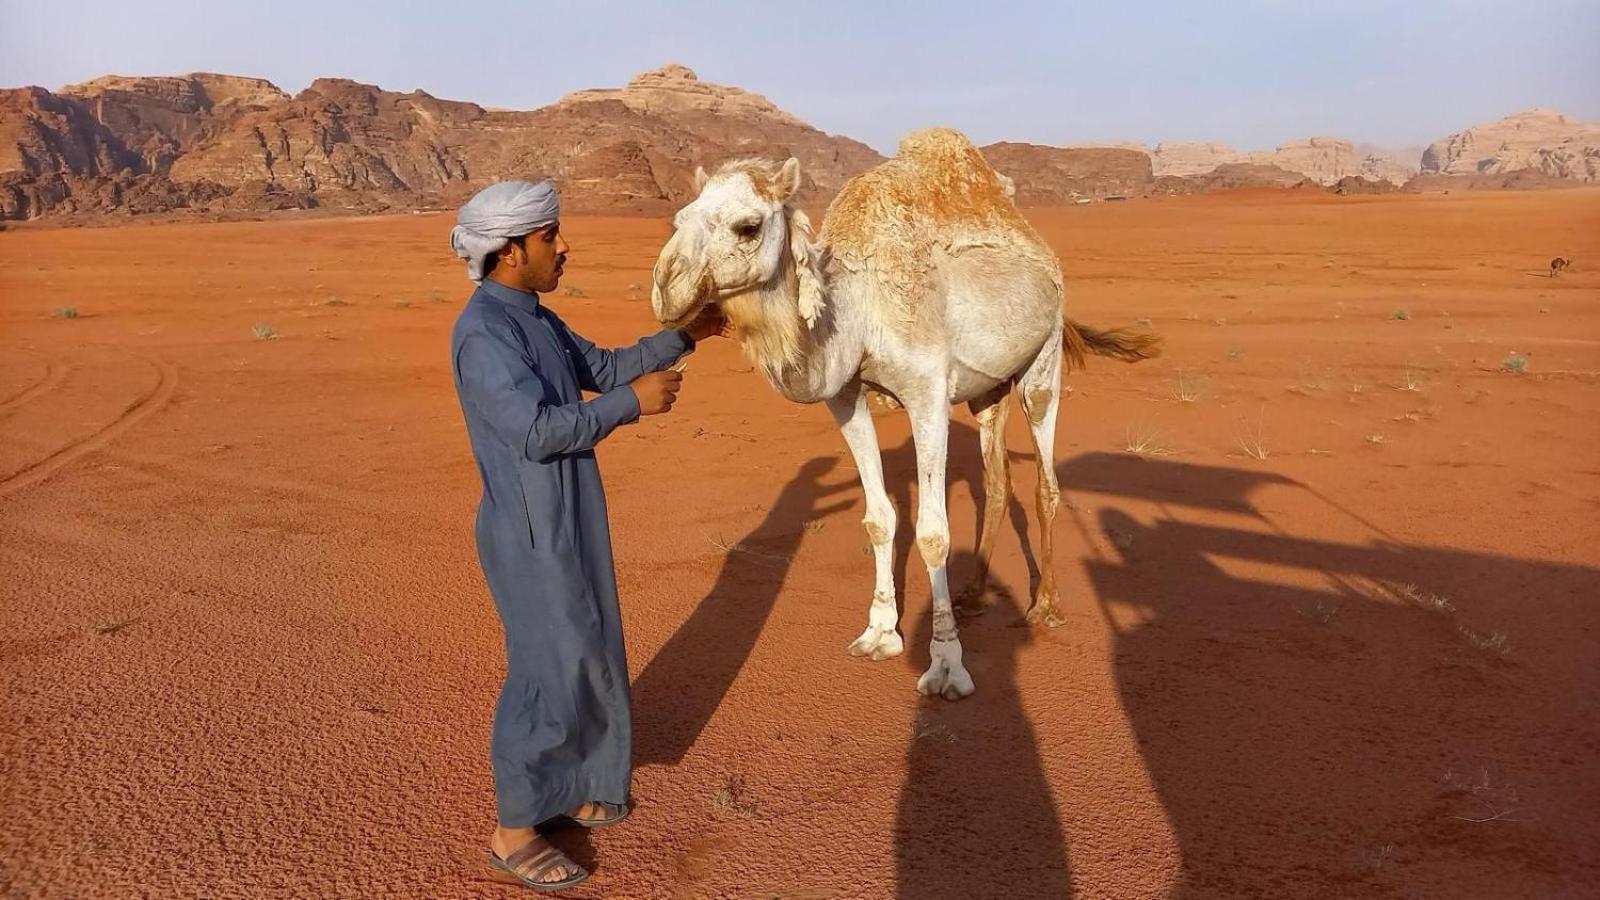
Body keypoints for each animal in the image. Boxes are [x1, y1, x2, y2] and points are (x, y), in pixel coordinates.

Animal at [649, 129, 1164, 698]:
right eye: (678, 219)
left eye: (748, 226)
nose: (665, 287)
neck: (857, 310)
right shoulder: (845, 397)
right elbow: (879, 519)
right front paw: (878, 634)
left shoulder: (928, 394)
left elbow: (934, 533)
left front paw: (946, 666)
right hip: (990, 388)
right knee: (997, 480)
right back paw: (974, 595)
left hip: (1044, 359)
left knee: (1044, 478)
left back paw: (1046, 606)